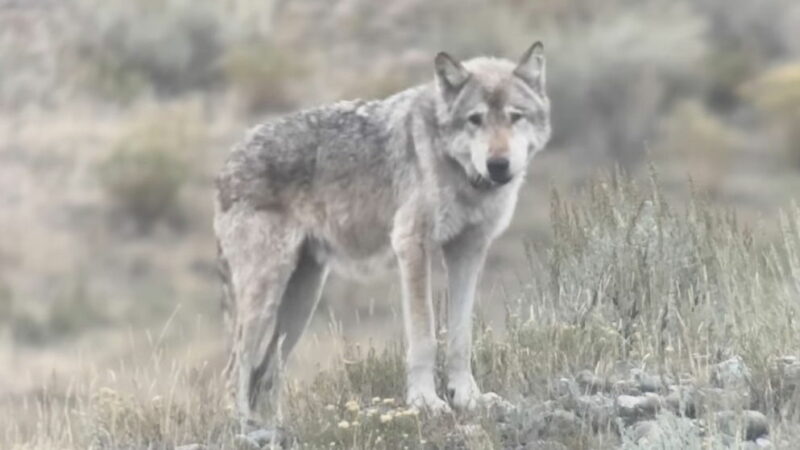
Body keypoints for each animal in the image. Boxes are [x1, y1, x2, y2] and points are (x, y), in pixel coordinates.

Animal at [212, 42, 552, 442]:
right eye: (475, 119)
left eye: (515, 117)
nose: (498, 165)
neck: (458, 170)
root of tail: (227, 161)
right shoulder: (412, 245)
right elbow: (424, 336)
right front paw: (425, 401)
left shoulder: (469, 250)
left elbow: (461, 337)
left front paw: (467, 398)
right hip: (264, 297)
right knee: (234, 369)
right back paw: (240, 430)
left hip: (302, 300)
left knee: (265, 372)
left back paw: (273, 428)